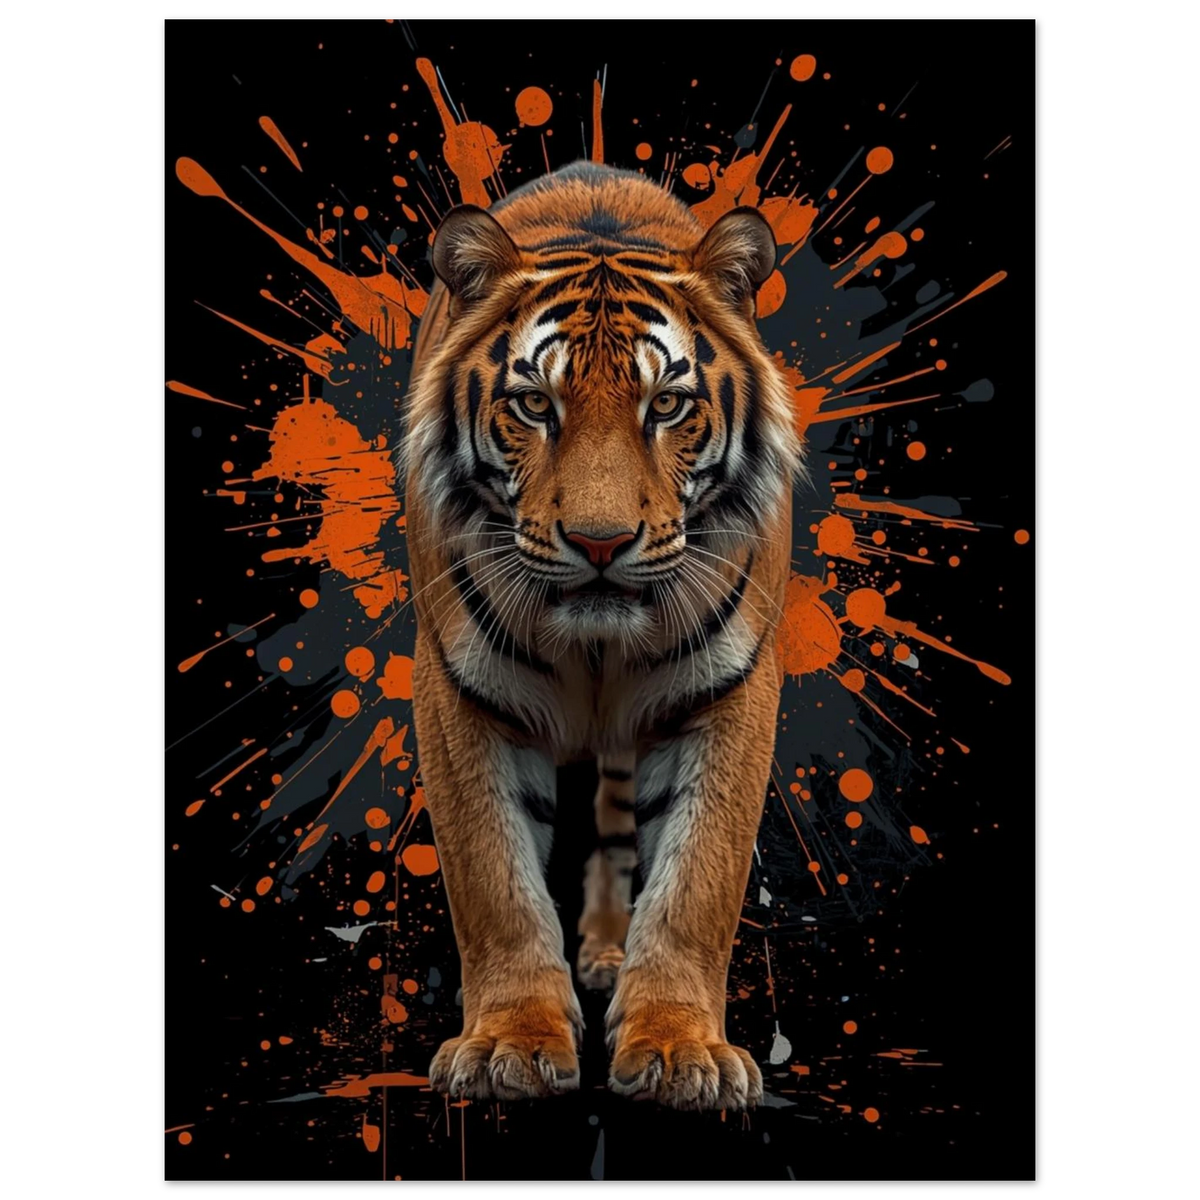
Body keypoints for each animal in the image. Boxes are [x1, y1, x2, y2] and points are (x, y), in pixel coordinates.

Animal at [401, 160, 804, 1111]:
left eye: (668, 405)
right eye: (532, 405)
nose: (599, 541)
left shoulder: (733, 688)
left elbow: (697, 881)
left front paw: (680, 1050)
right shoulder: (455, 689)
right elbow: (493, 878)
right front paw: (508, 1045)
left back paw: (614, 957)